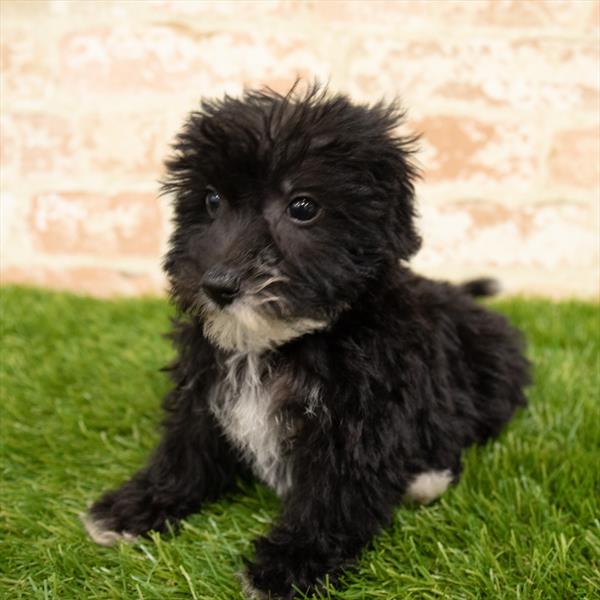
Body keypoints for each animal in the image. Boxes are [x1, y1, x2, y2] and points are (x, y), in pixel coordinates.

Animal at [82, 86, 528, 596]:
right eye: (212, 200)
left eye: (303, 207)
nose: (217, 286)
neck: (277, 344)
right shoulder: (204, 388)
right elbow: (185, 448)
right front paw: (136, 506)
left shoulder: (360, 416)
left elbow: (333, 492)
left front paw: (290, 564)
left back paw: (425, 477)